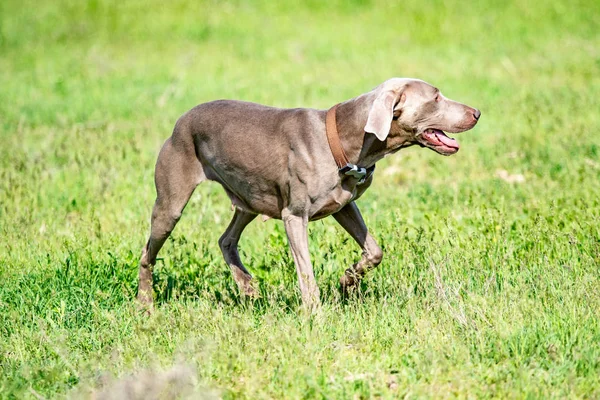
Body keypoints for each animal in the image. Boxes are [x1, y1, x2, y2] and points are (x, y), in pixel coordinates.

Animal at [138, 79, 480, 310]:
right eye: (435, 97)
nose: (477, 112)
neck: (345, 138)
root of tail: (182, 118)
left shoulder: (344, 206)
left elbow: (374, 251)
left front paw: (347, 282)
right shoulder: (294, 216)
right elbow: (306, 272)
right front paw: (315, 313)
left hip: (248, 198)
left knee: (226, 239)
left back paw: (247, 287)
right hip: (171, 201)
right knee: (147, 253)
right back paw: (145, 303)